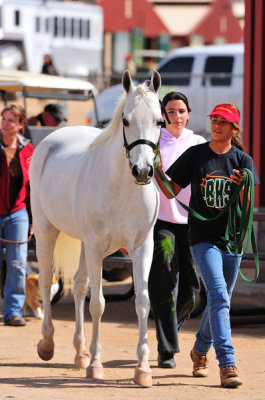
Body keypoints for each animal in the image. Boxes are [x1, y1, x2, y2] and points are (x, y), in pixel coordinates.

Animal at [28, 69, 161, 388]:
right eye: (126, 120)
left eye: (160, 121)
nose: (142, 171)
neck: (123, 190)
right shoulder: (96, 247)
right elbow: (98, 305)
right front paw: (97, 366)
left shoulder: (142, 248)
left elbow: (142, 302)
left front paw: (142, 369)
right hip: (47, 232)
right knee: (47, 279)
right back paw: (48, 344)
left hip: (85, 247)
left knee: (78, 287)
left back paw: (80, 353)